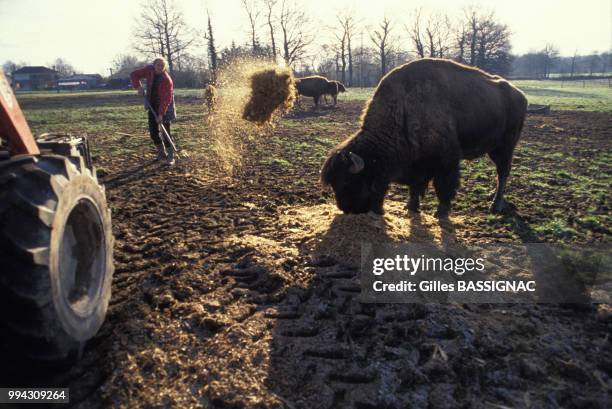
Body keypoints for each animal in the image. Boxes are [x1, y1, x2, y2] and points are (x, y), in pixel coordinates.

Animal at [320, 58, 524, 217]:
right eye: (334, 184)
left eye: (347, 182)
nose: (347, 209)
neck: (403, 110)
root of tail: (519, 94)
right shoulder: (417, 164)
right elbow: (415, 187)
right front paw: (410, 207)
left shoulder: (446, 160)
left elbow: (444, 186)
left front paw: (440, 212)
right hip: (494, 149)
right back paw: (491, 196)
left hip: (505, 147)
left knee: (503, 172)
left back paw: (495, 205)